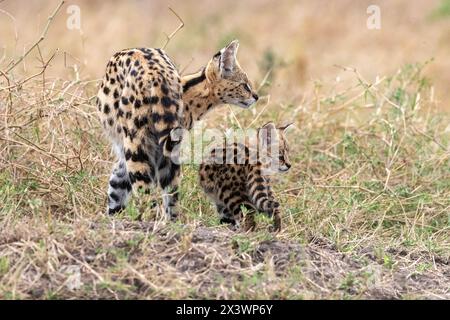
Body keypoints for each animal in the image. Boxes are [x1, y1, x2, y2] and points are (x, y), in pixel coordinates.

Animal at [96, 40, 258, 219]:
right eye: (244, 85)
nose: (256, 97)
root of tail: (157, 76)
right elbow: (117, 186)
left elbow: (117, 187)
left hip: (137, 142)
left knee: (150, 194)